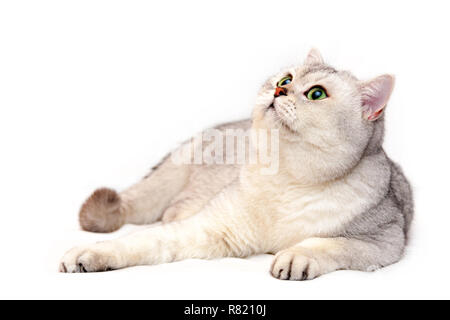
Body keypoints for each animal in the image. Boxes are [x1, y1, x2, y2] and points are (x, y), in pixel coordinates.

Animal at [59, 48, 412, 280]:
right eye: (287, 78)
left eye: (316, 94)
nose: (279, 89)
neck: (287, 180)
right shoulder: (209, 227)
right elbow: (142, 240)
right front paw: (91, 254)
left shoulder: (385, 240)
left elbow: (328, 244)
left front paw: (295, 256)